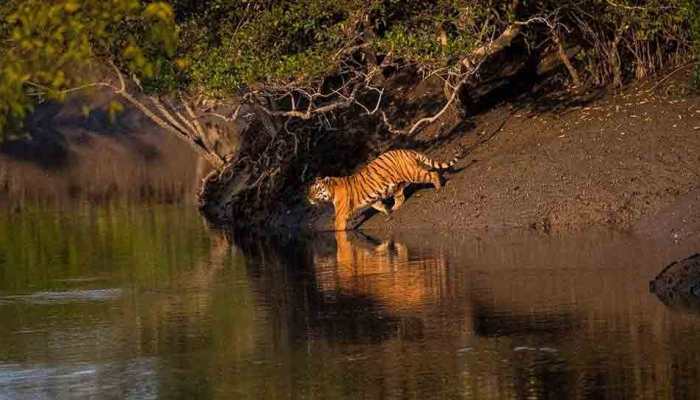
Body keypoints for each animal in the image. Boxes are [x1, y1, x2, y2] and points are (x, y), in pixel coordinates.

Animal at [307, 148, 463, 231]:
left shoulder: (340, 214)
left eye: (314, 191)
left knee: (433, 174)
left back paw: (438, 188)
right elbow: (379, 206)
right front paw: (388, 213)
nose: (309, 199)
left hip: (412, 173)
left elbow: (338, 229)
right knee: (400, 196)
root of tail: (408, 151)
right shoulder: (373, 200)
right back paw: (395, 208)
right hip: (397, 184)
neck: (331, 191)